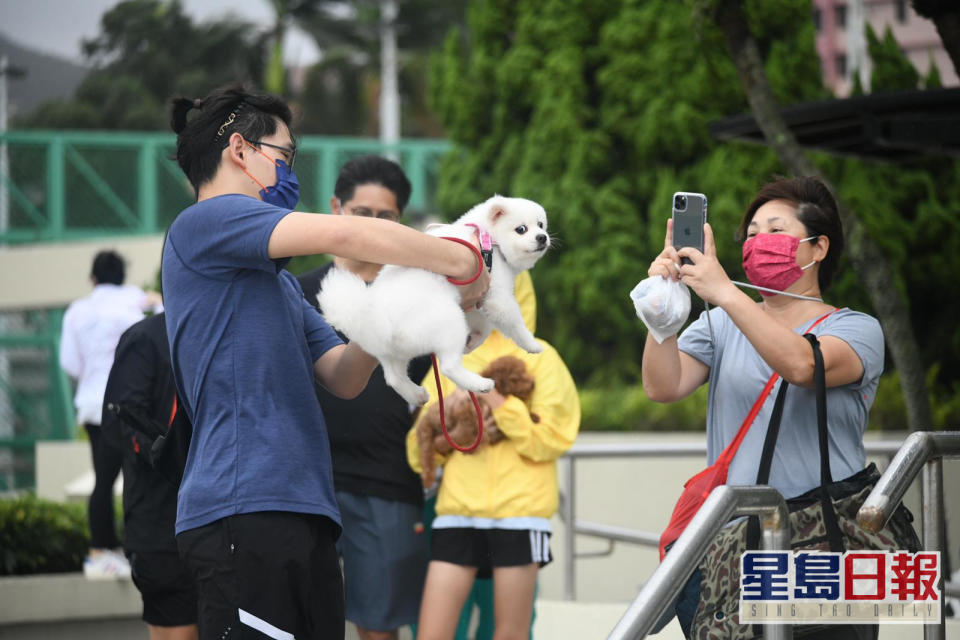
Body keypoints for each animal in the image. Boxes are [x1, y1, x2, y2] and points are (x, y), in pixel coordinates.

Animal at [318, 195, 552, 404]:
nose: (542, 237)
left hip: (393, 350)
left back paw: (416, 394)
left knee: (394, 377)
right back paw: (479, 383)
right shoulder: (496, 294)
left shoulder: (475, 299)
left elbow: (483, 329)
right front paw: (532, 343)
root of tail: (377, 317)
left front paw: (473, 342)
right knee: (449, 366)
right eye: (521, 229)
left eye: (541, 225)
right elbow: (514, 323)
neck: (488, 239)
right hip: (449, 321)